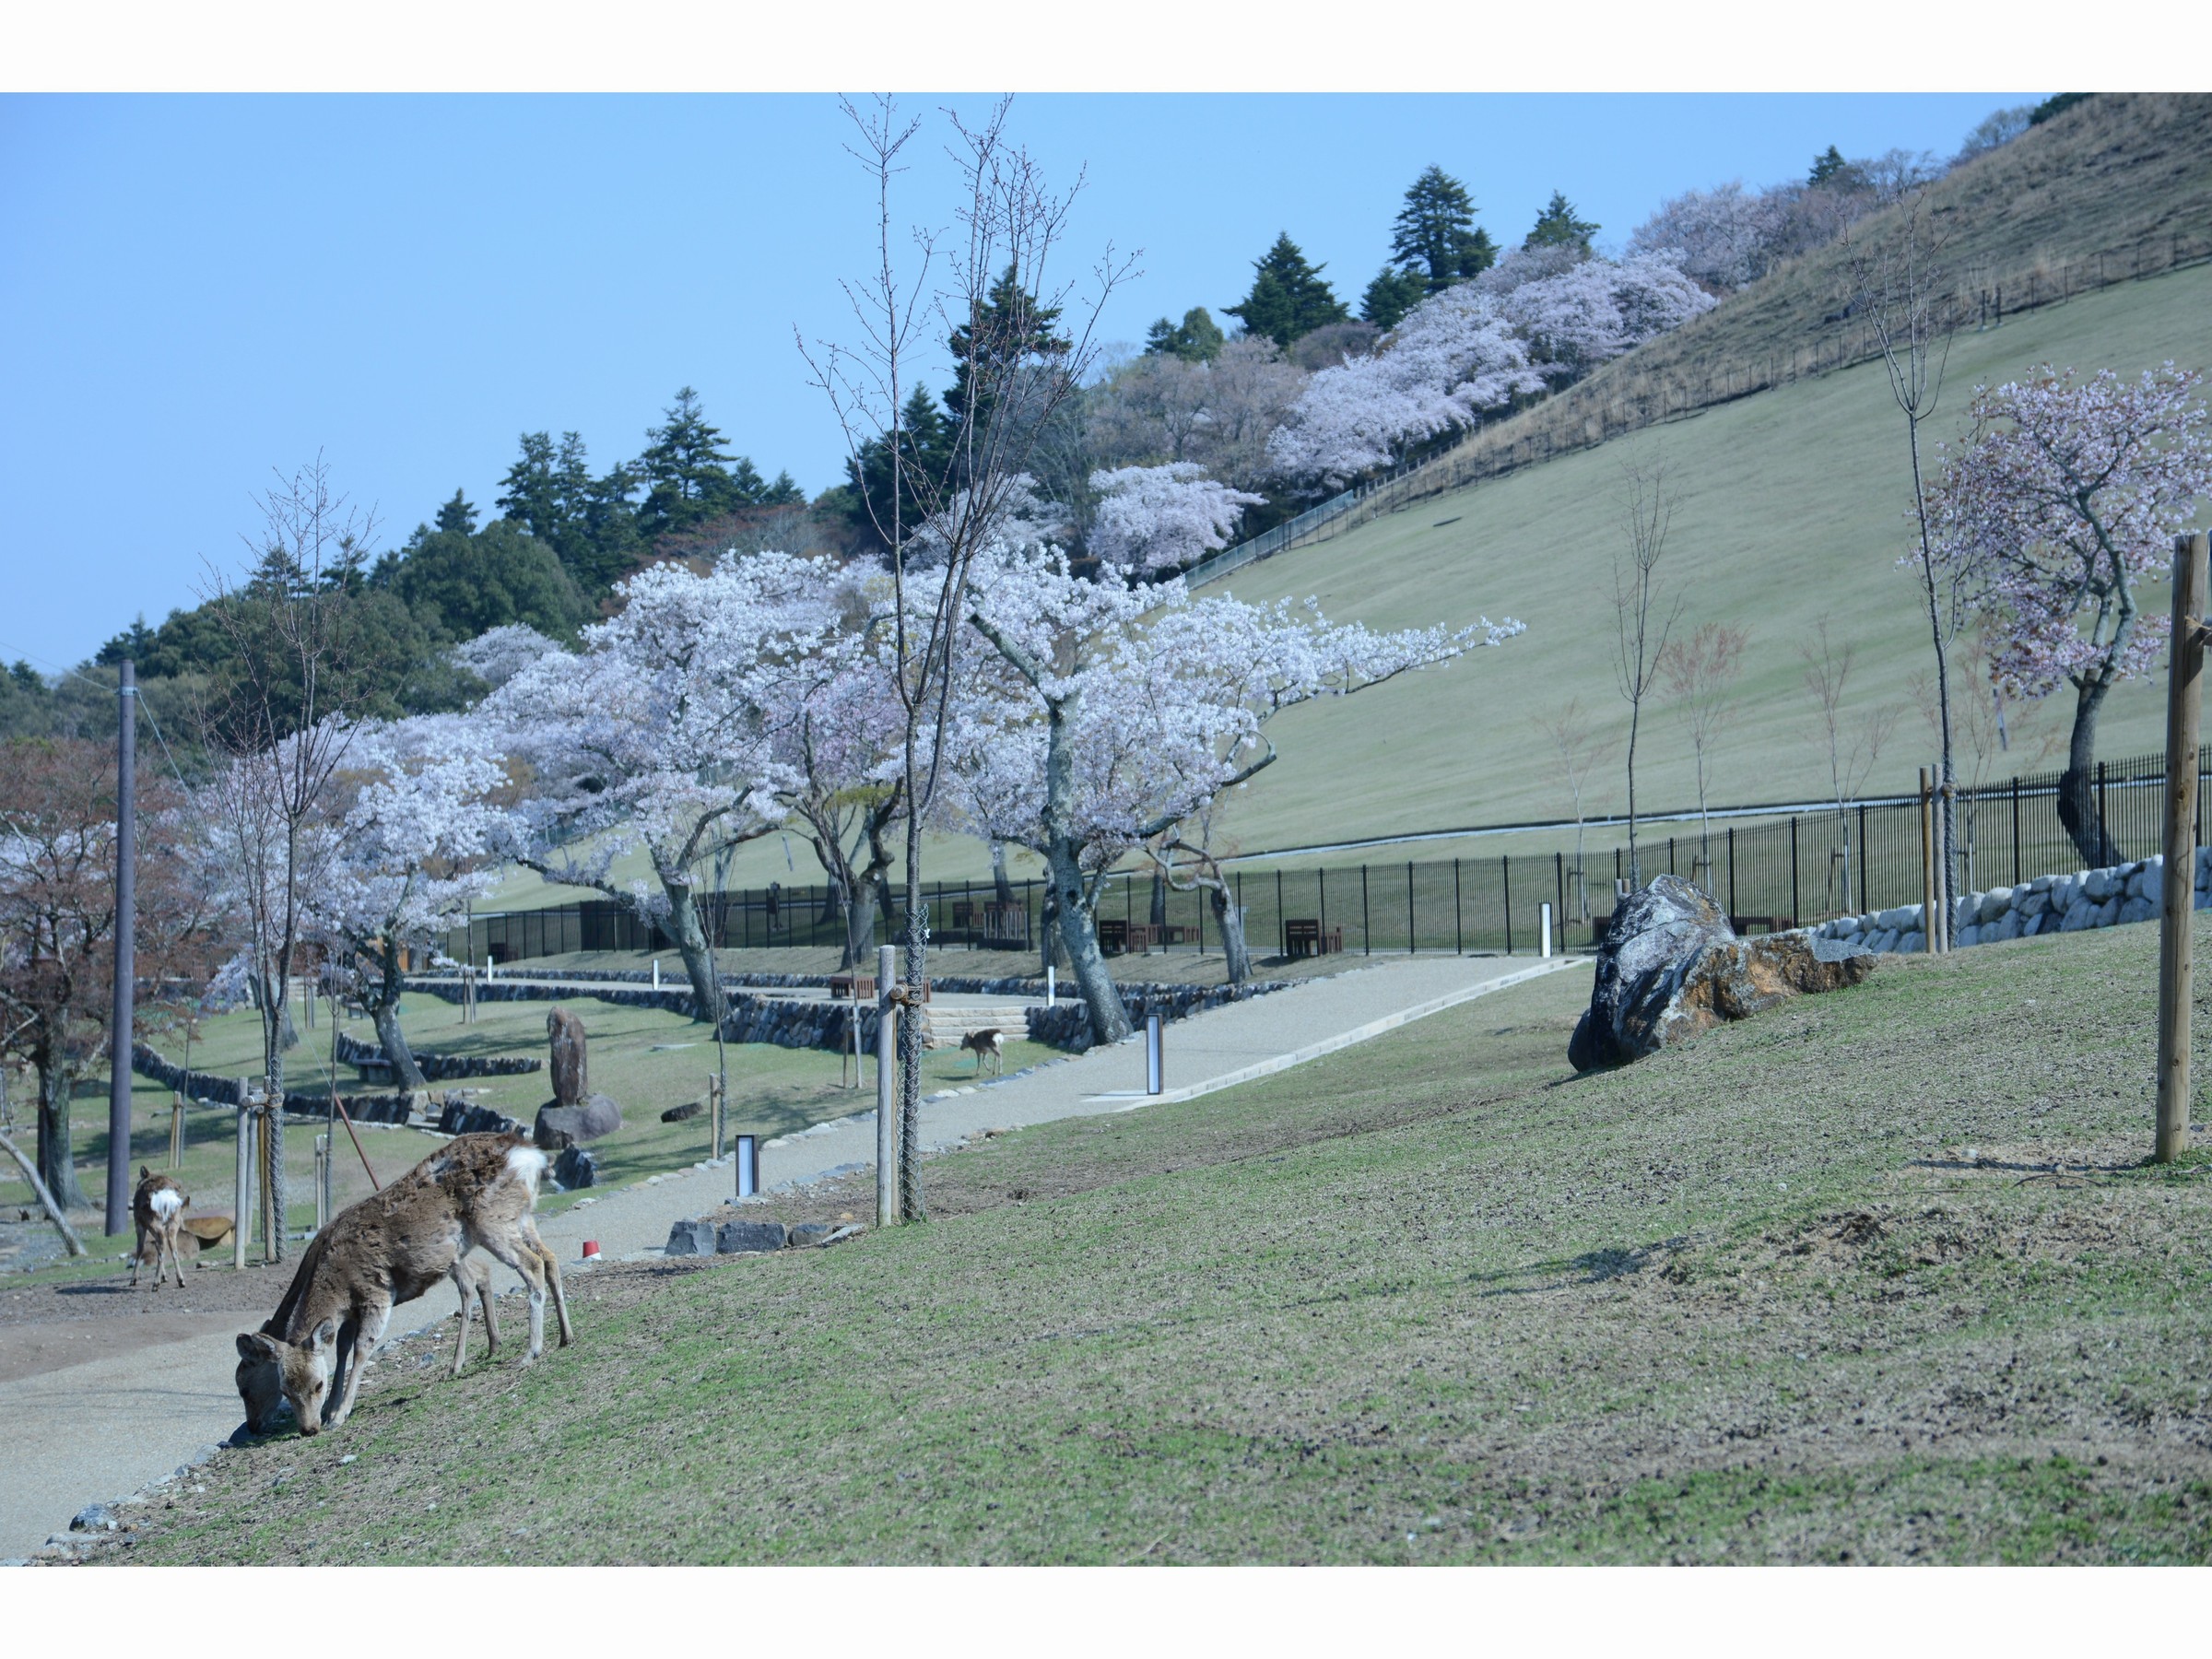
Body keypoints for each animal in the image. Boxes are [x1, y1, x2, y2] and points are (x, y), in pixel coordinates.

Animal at [129, 1159, 188, 1291]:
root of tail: (166, 1195)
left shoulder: (139, 1223)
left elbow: (140, 1248)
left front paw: (133, 1279)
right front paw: (164, 1277)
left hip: (153, 1221)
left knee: (162, 1245)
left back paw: (155, 1284)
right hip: (174, 1221)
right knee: (172, 1247)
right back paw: (180, 1280)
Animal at [234, 1141, 575, 1433]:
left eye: (244, 1387)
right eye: (285, 1389)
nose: (308, 1429)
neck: (335, 1281)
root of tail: (529, 1156)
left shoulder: (376, 1293)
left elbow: (362, 1348)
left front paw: (339, 1414)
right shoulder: (352, 1310)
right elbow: (342, 1348)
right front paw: (332, 1408)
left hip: (493, 1224)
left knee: (530, 1266)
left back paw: (530, 1351)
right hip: (519, 1220)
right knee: (548, 1258)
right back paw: (563, 1337)